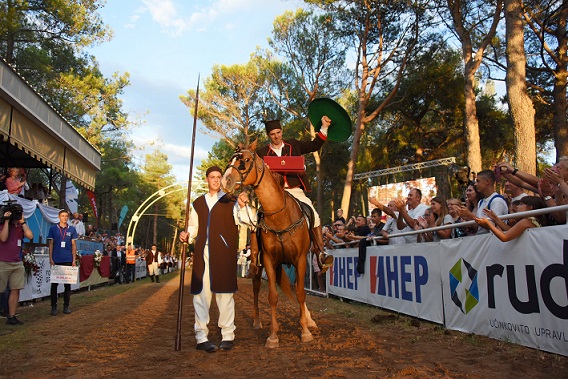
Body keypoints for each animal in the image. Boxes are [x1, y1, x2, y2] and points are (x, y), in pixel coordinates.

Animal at [222, 141, 320, 348]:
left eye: (245, 160)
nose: (226, 181)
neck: (280, 215)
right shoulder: (268, 260)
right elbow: (273, 296)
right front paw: (273, 335)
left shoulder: (300, 260)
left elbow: (300, 292)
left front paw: (305, 330)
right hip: (259, 265)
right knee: (256, 288)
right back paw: (257, 320)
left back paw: (308, 320)